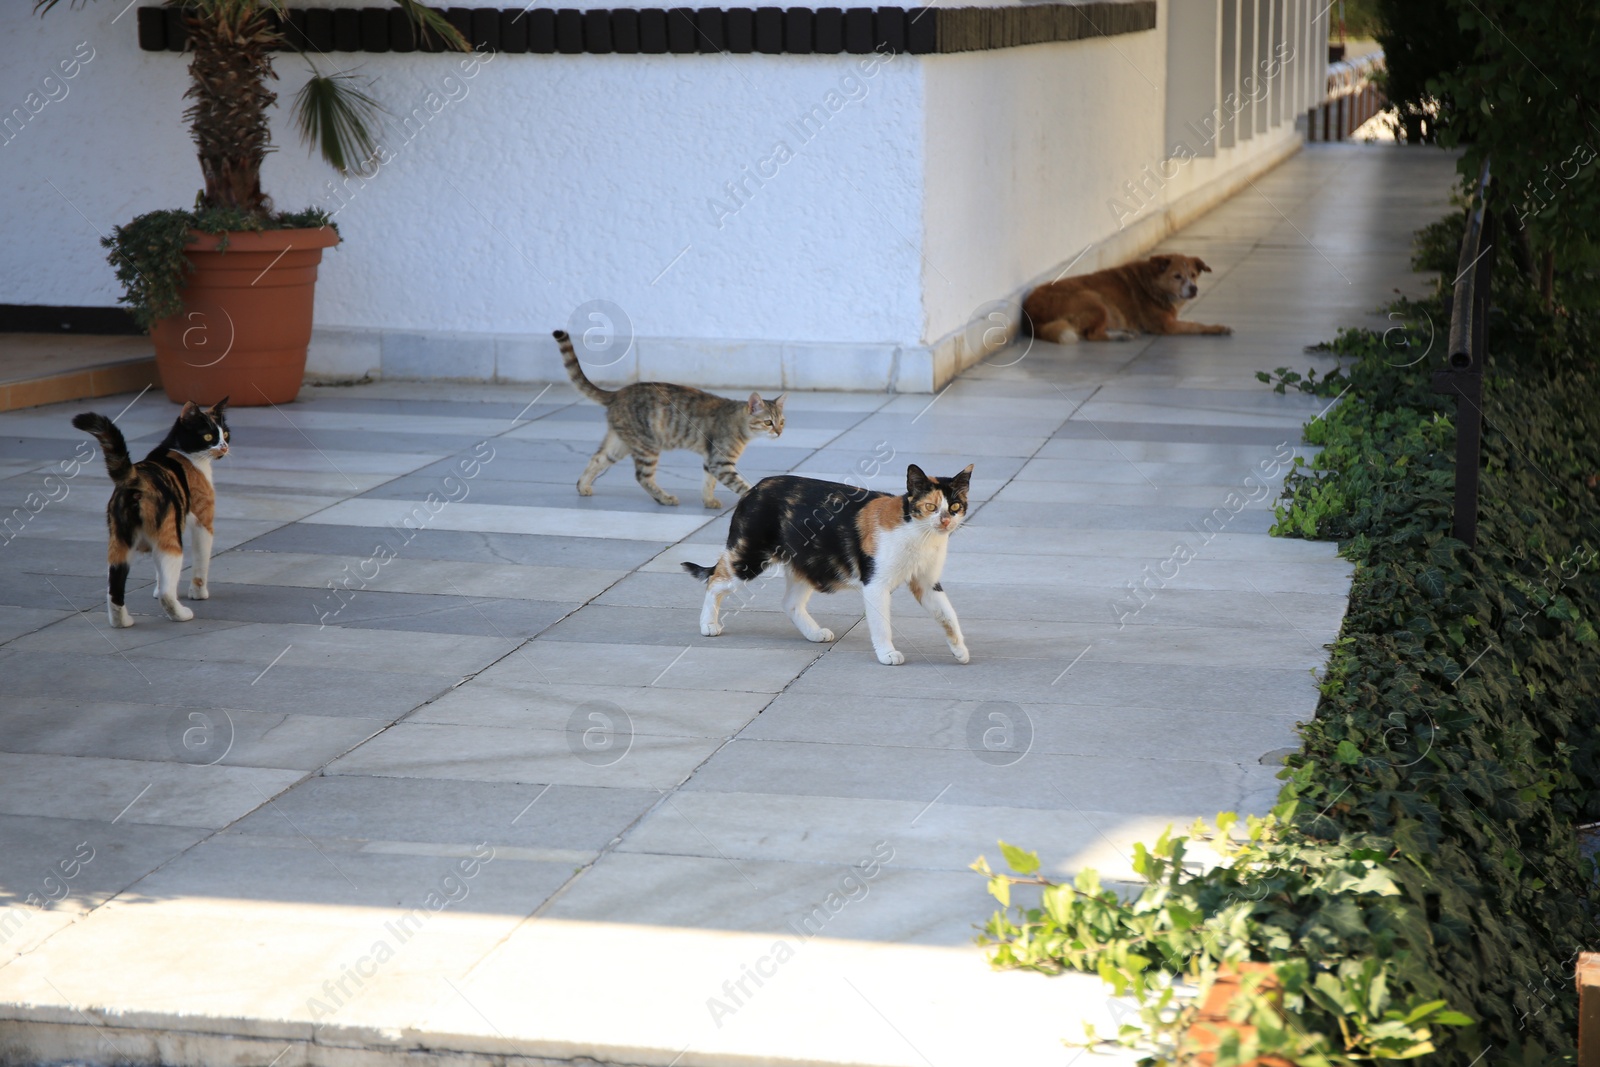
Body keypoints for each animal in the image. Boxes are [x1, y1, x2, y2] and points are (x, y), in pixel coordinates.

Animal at [74, 403, 232, 633]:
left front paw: (156, 589)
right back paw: (180, 614)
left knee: (114, 589)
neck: (182, 452)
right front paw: (198, 593)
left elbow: (160, 573)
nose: (224, 447)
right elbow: (200, 563)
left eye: (225, 434)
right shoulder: (203, 522)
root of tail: (133, 477)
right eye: (209, 436)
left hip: (121, 543)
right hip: (171, 541)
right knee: (167, 592)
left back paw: (122, 622)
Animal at [556, 326, 787, 508]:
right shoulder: (720, 462)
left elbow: (708, 482)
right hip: (647, 446)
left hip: (620, 444)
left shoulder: (710, 460)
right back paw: (664, 498)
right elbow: (743, 486)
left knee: (597, 459)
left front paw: (708, 501)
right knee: (642, 476)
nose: (779, 432)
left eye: (782, 422)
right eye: (768, 422)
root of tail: (617, 393)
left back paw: (583, 486)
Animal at [678, 463, 966, 662]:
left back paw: (814, 633)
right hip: (749, 557)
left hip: (808, 562)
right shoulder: (876, 584)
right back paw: (708, 624)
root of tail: (755, 488)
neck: (920, 534)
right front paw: (887, 653)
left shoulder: (927, 583)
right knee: (715, 580)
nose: (945, 521)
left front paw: (960, 649)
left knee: (790, 603)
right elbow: (881, 623)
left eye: (955, 507)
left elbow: (948, 615)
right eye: (930, 507)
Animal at [1017, 254, 1228, 342]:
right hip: (1094, 299)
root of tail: (1030, 314)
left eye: (1193, 275)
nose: (1194, 289)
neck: (1152, 285)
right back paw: (1120, 336)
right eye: (1177, 276)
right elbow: (1196, 325)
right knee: (1092, 334)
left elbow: (1191, 320)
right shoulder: (1165, 325)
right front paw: (1217, 328)